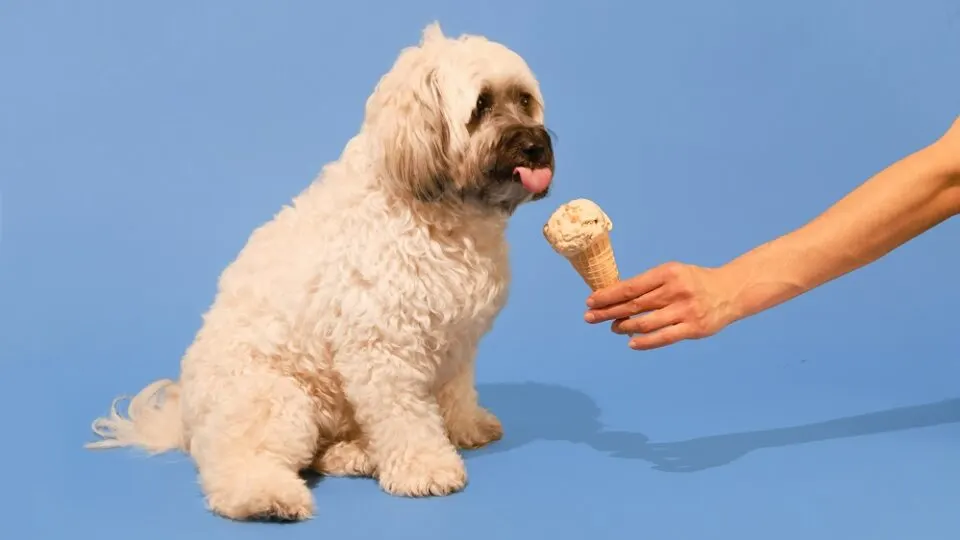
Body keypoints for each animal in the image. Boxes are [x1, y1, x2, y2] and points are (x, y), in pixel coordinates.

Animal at [87, 23, 560, 520]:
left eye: (524, 100)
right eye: (481, 106)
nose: (535, 145)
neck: (433, 210)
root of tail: (184, 422)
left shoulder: (458, 343)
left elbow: (456, 393)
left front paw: (466, 427)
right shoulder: (382, 349)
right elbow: (405, 416)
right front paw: (426, 467)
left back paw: (352, 453)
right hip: (277, 401)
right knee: (237, 464)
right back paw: (267, 496)